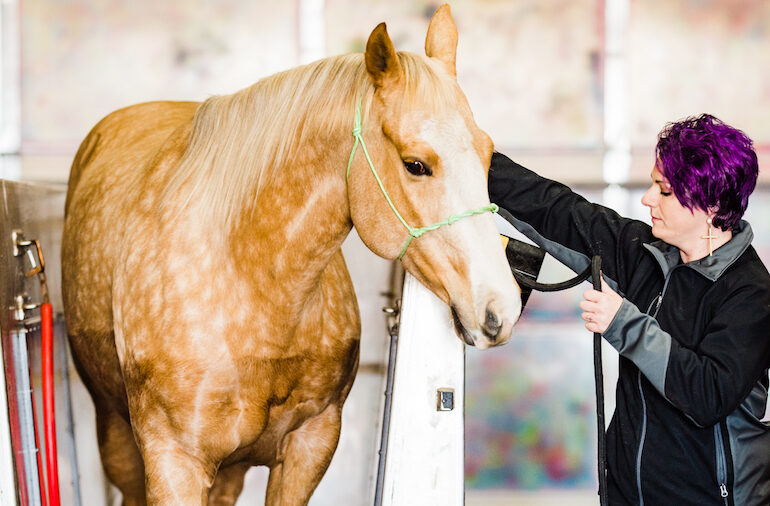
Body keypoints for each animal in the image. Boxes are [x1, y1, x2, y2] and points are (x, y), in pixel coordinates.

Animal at [61, 5, 521, 505]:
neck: (249, 280)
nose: (501, 308)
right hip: (117, 435)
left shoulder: (310, 445)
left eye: (489, 155)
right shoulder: (174, 462)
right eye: (415, 164)